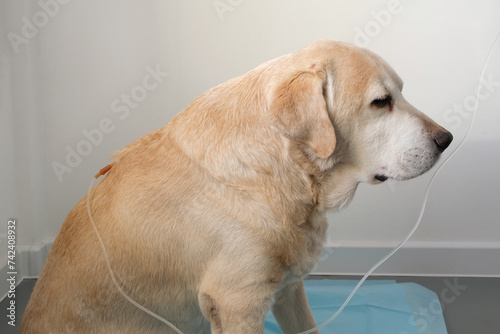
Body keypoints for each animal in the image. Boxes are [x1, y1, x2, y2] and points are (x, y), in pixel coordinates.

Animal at [21, 40, 454, 332]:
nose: (446, 139)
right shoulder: (238, 303)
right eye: (381, 102)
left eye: (402, 92)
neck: (280, 173)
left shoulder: (288, 290)